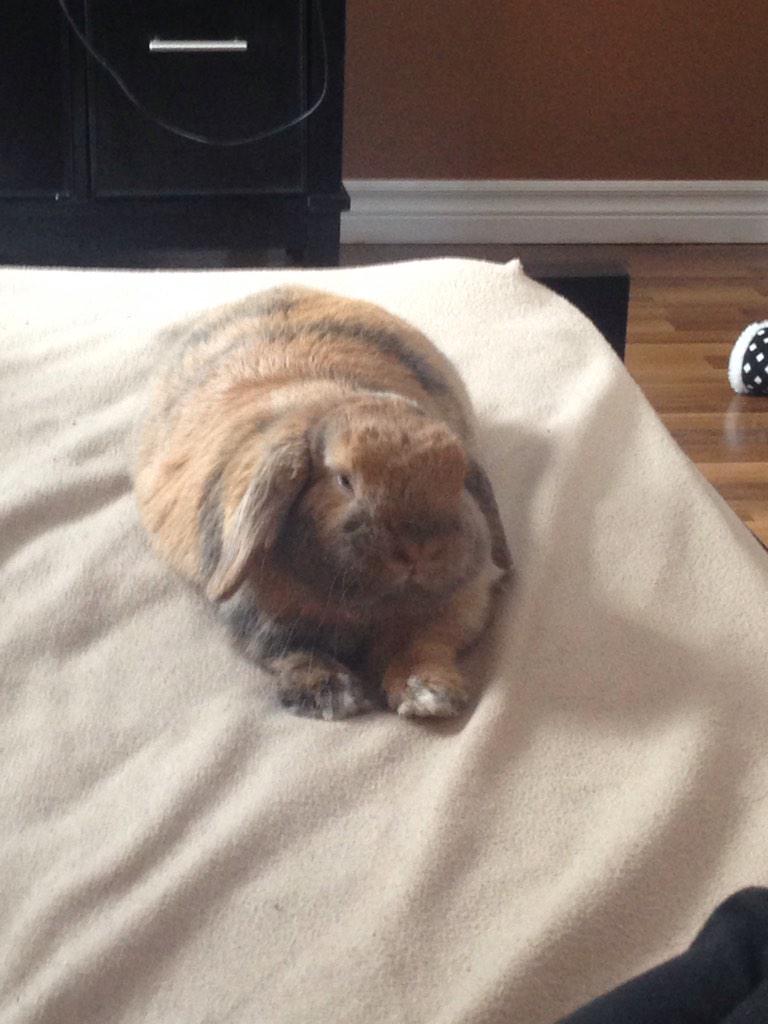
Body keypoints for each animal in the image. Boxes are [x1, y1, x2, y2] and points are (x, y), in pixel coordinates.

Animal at [134, 285, 511, 721]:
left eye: (458, 478)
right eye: (343, 480)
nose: (419, 550)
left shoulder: (452, 609)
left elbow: (422, 647)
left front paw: (428, 697)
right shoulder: (269, 623)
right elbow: (295, 652)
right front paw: (333, 697)